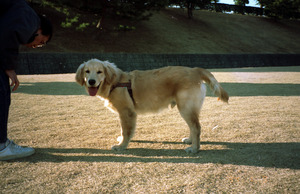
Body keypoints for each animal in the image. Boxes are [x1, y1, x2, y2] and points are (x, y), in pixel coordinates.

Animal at [76, 58, 229, 153]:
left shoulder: (127, 112)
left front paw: (122, 146)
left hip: (185, 107)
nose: (91, 81)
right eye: (87, 71)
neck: (116, 82)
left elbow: (126, 131)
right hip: (187, 108)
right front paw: (121, 140)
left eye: (99, 71)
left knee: (196, 127)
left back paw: (195, 148)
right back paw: (190, 141)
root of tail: (195, 70)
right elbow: (124, 130)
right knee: (193, 126)